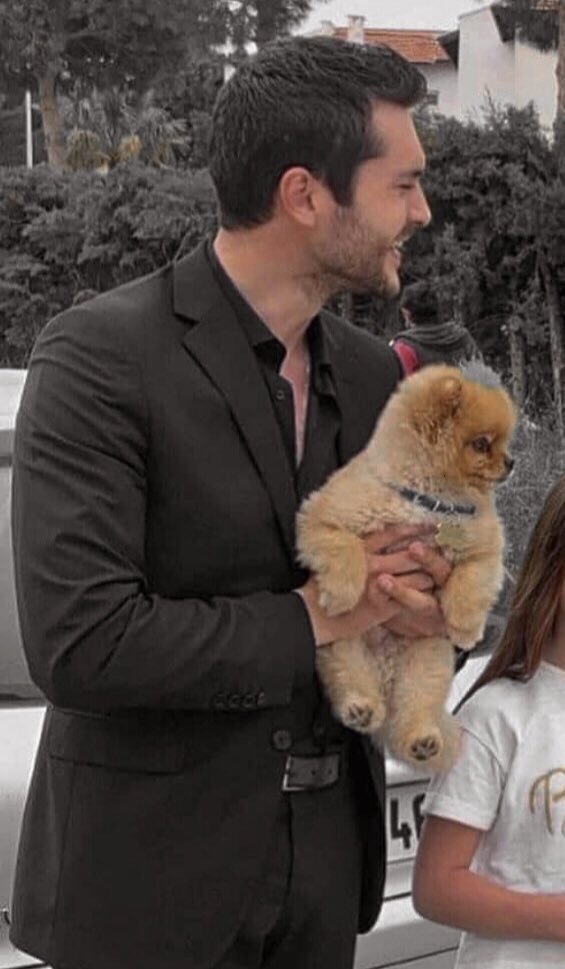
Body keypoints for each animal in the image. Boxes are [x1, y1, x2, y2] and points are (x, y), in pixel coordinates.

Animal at [296, 362, 516, 772]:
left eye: (503, 443)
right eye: (481, 444)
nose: (511, 462)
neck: (428, 500)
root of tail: (385, 677)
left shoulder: (484, 550)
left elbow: (470, 584)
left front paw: (465, 627)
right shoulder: (322, 518)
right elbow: (344, 547)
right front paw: (342, 595)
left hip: (426, 663)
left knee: (412, 711)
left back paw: (421, 740)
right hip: (343, 650)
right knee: (352, 682)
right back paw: (361, 708)